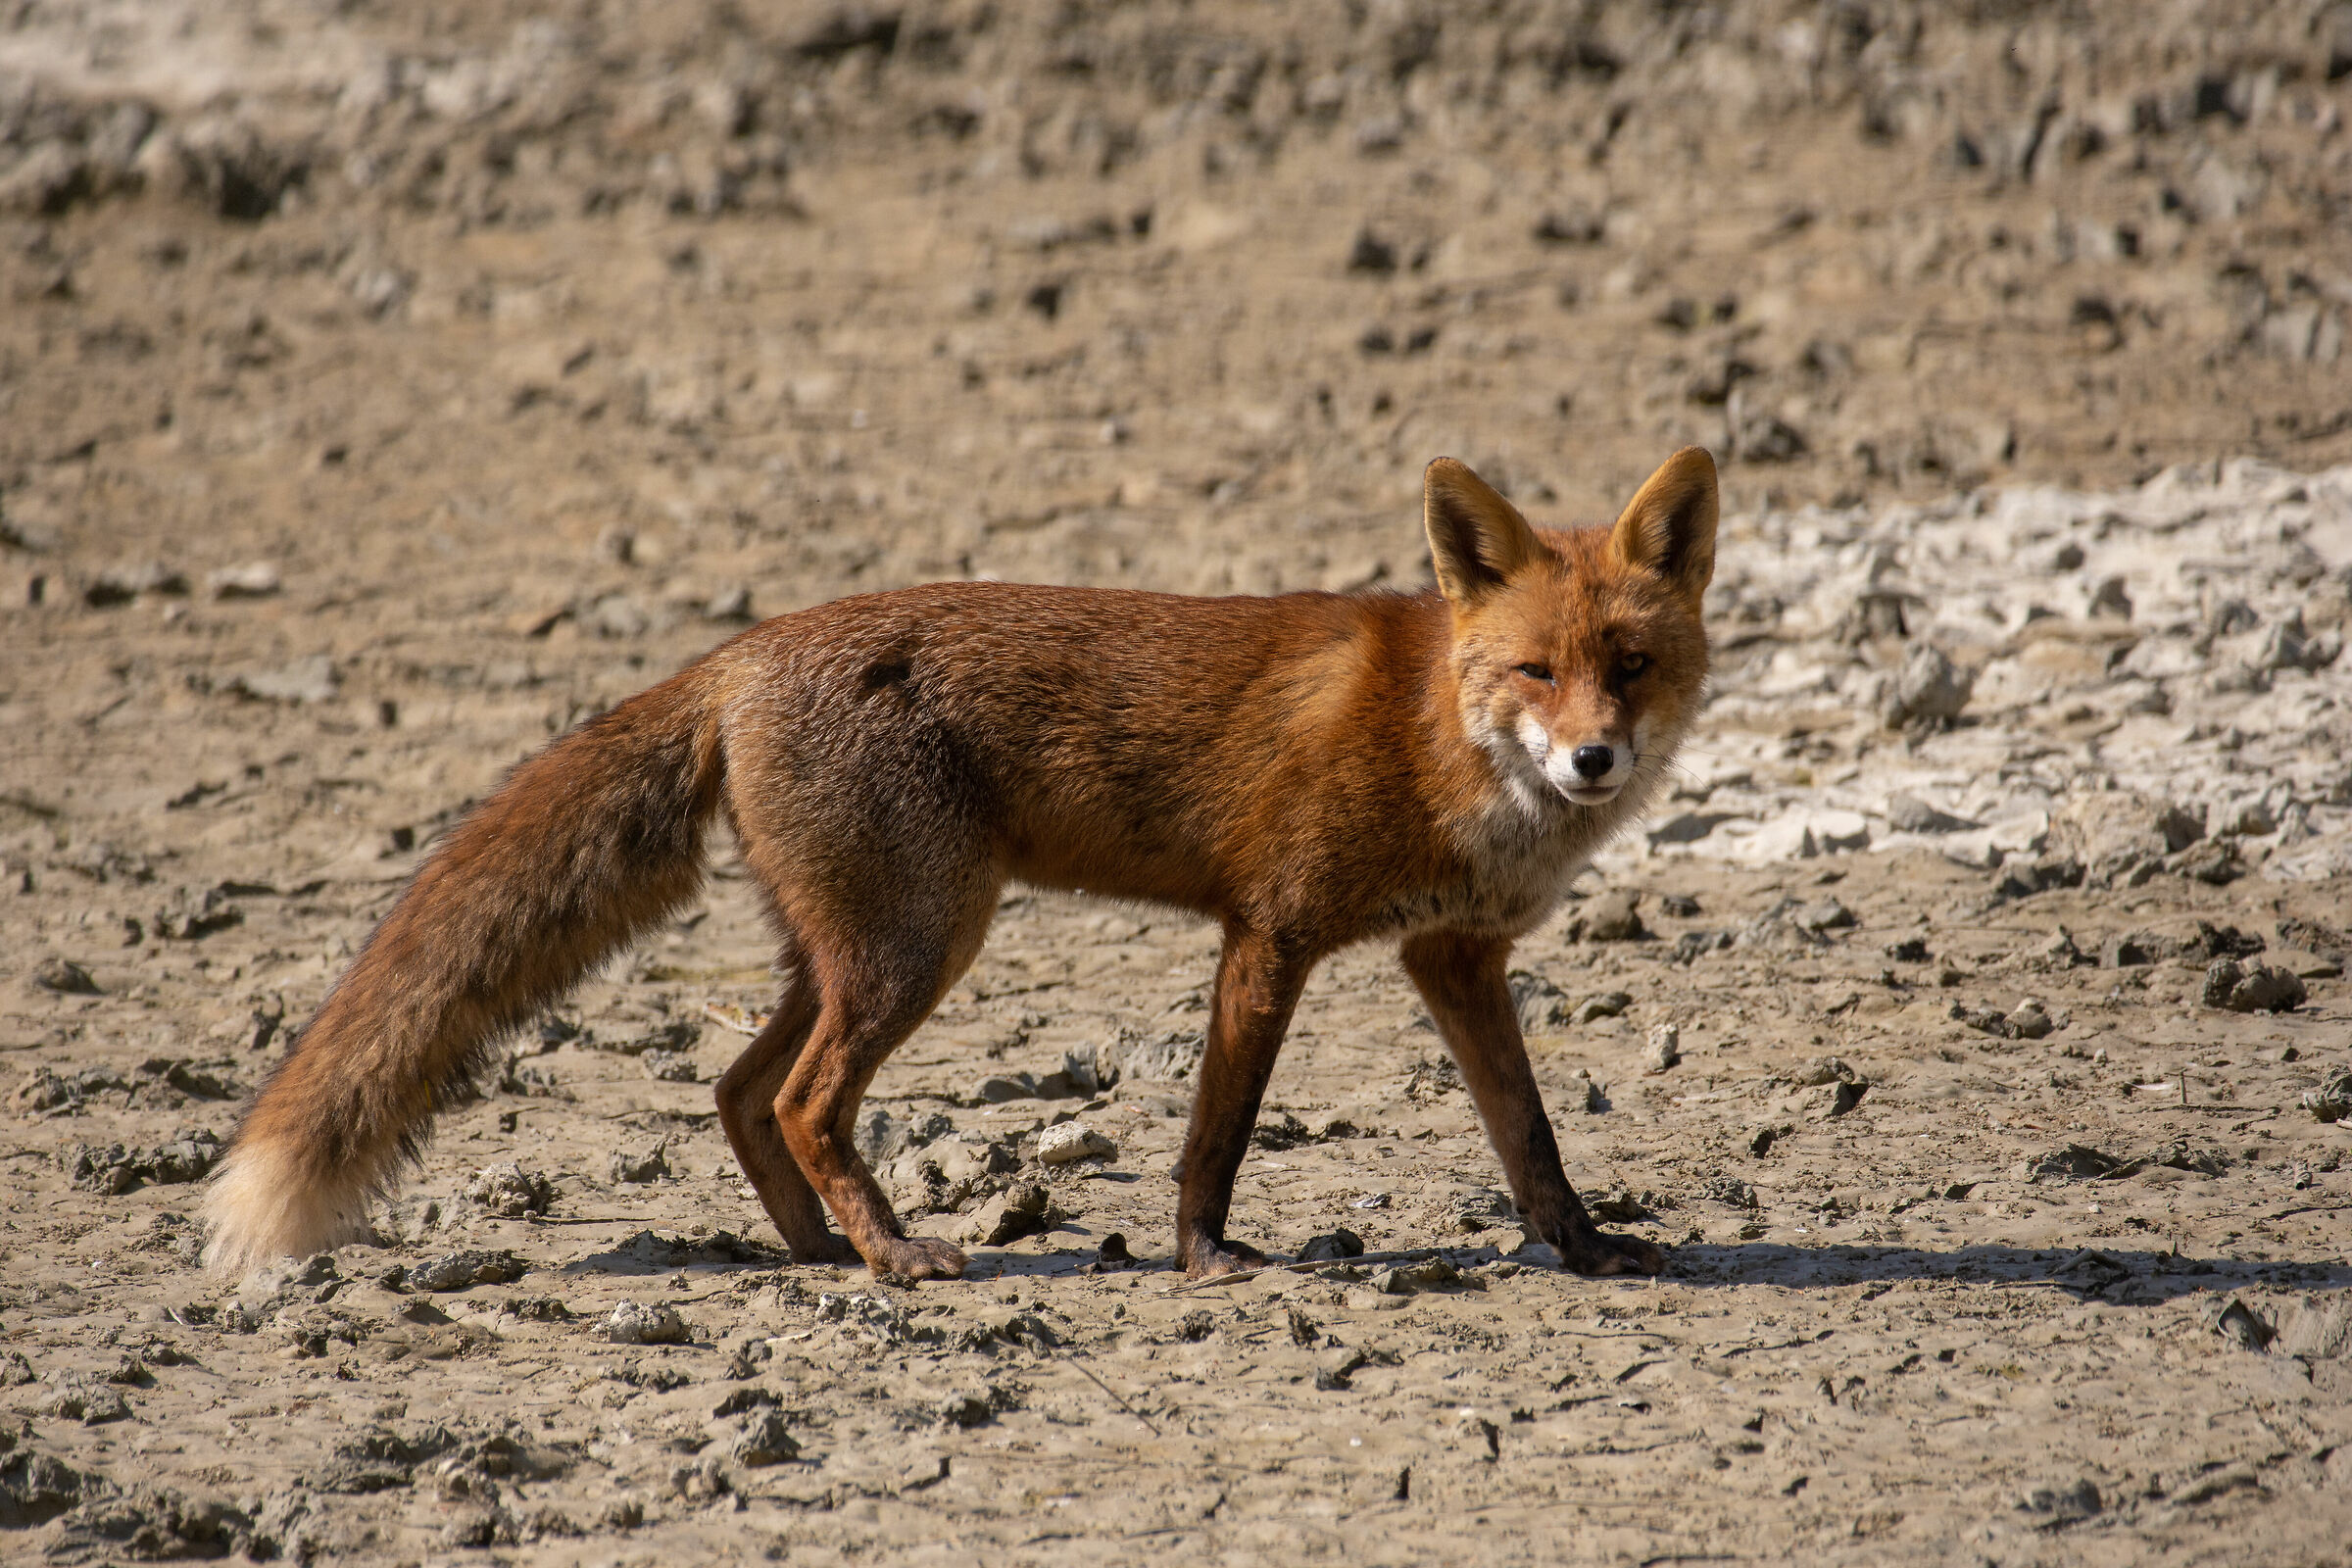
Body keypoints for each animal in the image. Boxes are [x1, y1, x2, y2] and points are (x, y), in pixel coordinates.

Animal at [204, 447, 1717, 1282]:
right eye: (1535, 671)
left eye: (1631, 665)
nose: (1594, 761)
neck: (1433, 739)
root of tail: (740, 653)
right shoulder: (1270, 931)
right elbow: (1217, 1135)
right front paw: (1208, 1259)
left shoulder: (1453, 954)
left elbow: (1531, 1136)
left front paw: (1588, 1250)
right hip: (919, 947)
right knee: (804, 1102)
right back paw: (889, 1256)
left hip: (855, 950)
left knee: (739, 1091)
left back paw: (818, 1250)